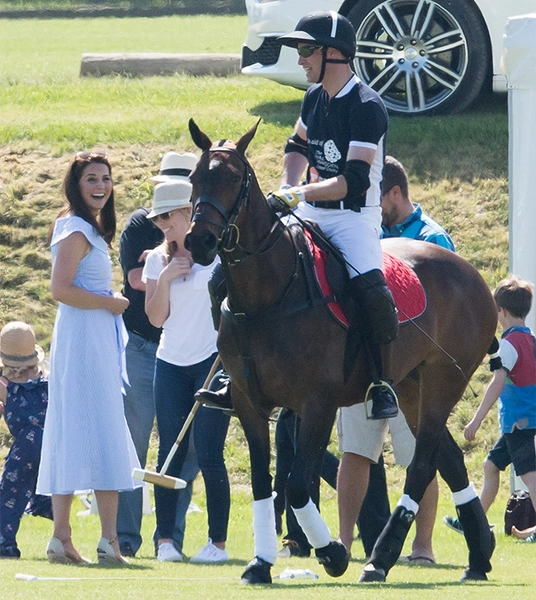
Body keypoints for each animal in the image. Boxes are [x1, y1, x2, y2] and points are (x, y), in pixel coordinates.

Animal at [185, 119, 498, 584]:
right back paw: (479, 555)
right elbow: (263, 483)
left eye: (235, 179)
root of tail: (474, 276)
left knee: (422, 466)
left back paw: (381, 558)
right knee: (451, 459)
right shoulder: (247, 403)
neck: (267, 296)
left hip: (444, 381)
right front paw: (260, 564)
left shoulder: (317, 403)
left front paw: (332, 552)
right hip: (412, 387)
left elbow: (296, 484)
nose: (198, 241)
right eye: (193, 178)